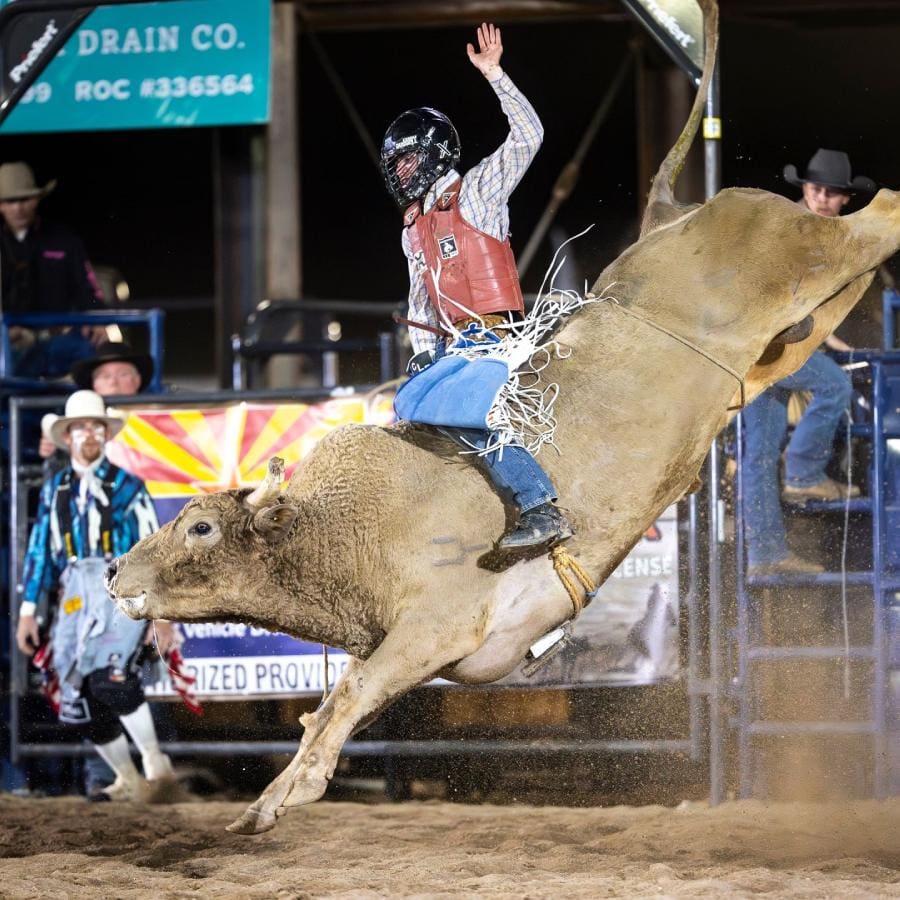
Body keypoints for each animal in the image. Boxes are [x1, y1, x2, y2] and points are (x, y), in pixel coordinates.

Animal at [106, 0, 900, 833]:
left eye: (200, 527)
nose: (114, 569)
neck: (351, 532)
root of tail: (678, 214)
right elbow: (332, 702)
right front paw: (267, 799)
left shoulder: (434, 629)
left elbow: (350, 696)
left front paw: (290, 793)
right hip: (767, 349)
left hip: (811, 249)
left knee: (879, 216)